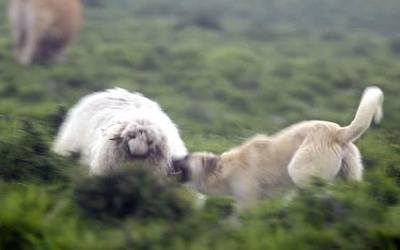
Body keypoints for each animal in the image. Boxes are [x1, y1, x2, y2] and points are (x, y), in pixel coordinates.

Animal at [172, 86, 384, 207]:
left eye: (186, 157)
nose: (172, 159)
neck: (224, 169)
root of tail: (338, 132)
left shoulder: (248, 199)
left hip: (300, 168)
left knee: (318, 190)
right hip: (350, 172)